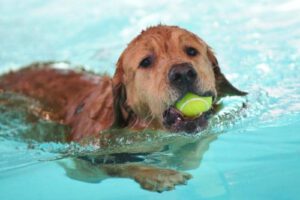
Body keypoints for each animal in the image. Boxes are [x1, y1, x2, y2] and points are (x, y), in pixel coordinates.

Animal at [0, 25, 246, 192]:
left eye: (191, 51)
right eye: (146, 62)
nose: (183, 73)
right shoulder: (88, 157)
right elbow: (123, 164)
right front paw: (158, 174)